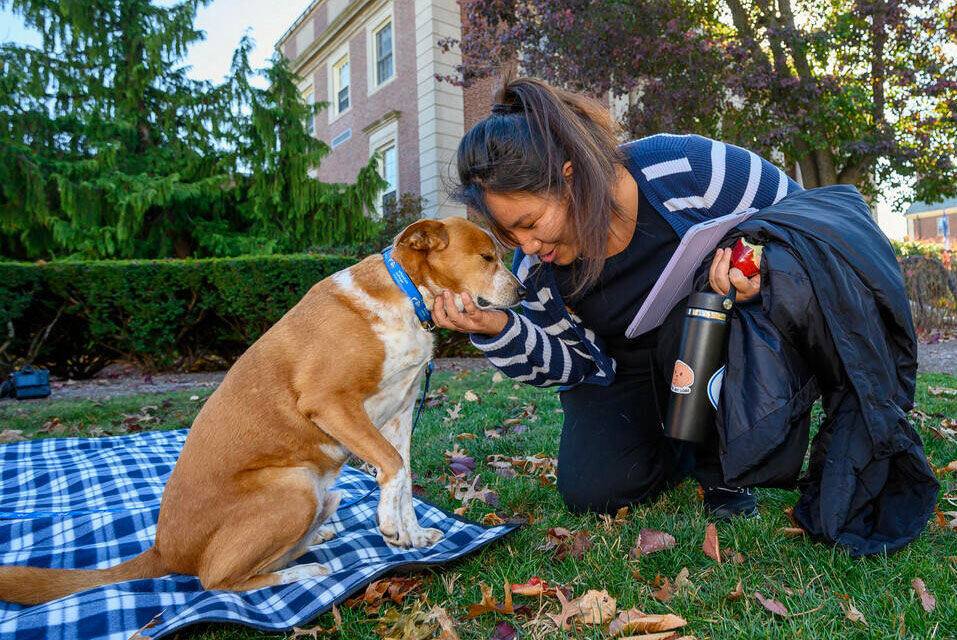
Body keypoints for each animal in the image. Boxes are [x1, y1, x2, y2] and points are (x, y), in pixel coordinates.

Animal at [0, 218, 524, 604]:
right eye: (487, 257)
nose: (522, 294)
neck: (405, 295)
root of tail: (163, 551)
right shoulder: (331, 402)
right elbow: (392, 469)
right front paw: (391, 528)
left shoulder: (399, 412)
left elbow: (404, 479)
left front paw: (411, 536)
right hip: (294, 488)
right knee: (214, 582)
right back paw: (302, 573)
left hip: (320, 492)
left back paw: (317, 540)